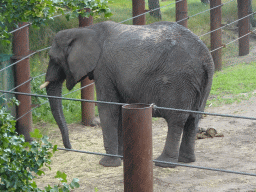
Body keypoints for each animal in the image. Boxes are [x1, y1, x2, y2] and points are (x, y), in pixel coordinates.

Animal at [41, 21, 215, 167]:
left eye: (52, 58)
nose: (69, 147)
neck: (86, 29)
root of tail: (205, 57)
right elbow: (119, 109)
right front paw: (123, 158)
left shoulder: (104, 69)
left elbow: (108, 108)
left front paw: (107, 163)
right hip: (203, 82)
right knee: (194, 118)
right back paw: (186, 161)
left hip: (179, 82)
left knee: (176, 120)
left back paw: (163, 163)